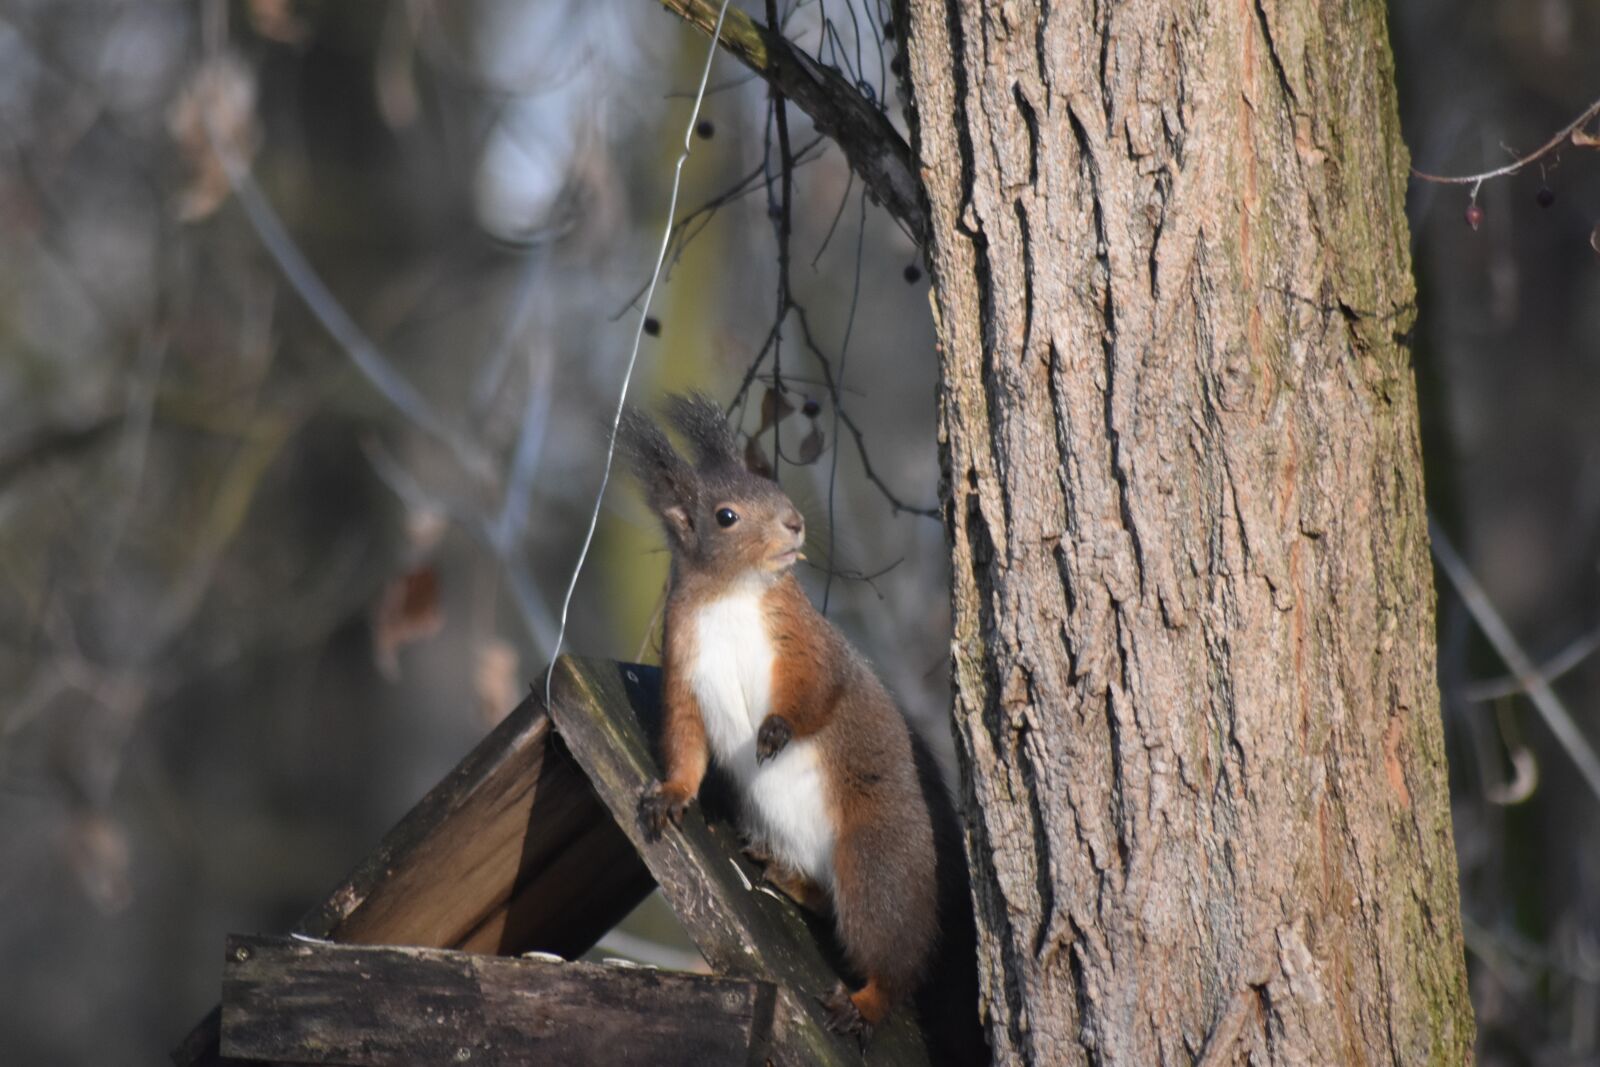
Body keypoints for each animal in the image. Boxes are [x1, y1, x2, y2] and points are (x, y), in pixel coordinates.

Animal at [617, 392, 982, 1059]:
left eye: (774, 484)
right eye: (726, 516)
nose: (794, 524)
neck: (731, 596)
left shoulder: (806, 640)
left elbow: (818, 692)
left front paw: (776, 732)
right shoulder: (683, 669)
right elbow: (684, 743)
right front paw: (670, 795)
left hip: (874, 862)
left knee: (893, 963)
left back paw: (864, 1002)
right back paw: (785, 876)